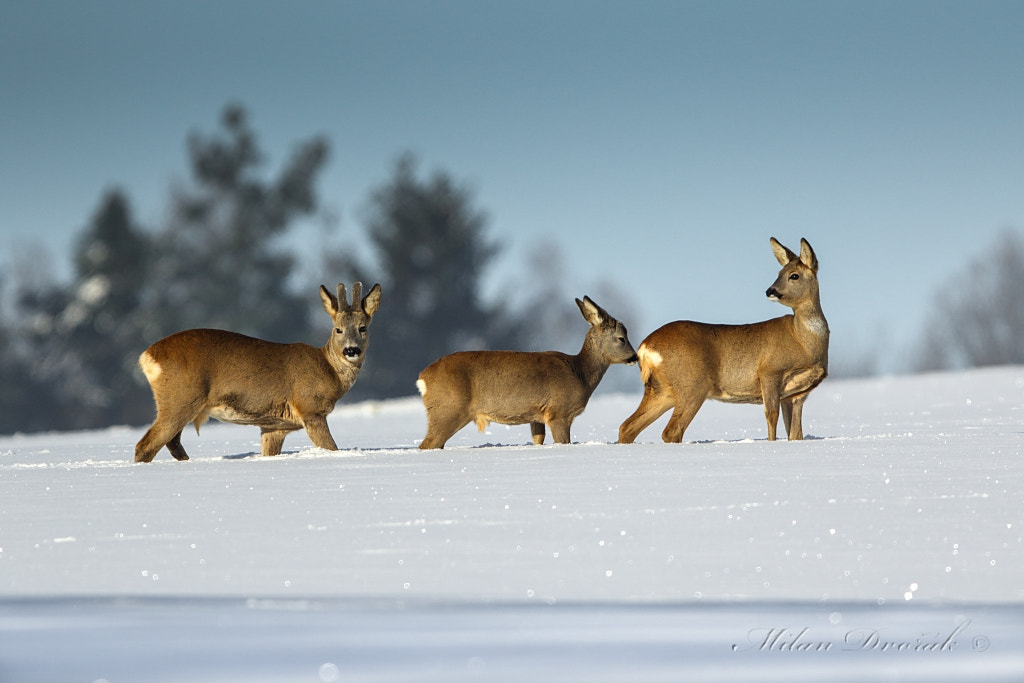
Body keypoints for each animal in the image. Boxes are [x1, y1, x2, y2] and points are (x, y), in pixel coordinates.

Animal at [132, 280, 380, 462]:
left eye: (363, 328)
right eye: (338, 329)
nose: (351, 350)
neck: (329, 370)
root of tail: (147, 356)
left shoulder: (274, 426)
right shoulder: (310, 409)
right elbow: (332, 448)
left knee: (172, 443)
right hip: (181, 398)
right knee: (146, 444)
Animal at [413, 294, 634, 448]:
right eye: (622, 338)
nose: (634, 357)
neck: (581, 372)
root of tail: (422, 378)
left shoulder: (537, 417)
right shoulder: (559, 412)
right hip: (448, 409)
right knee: (427, 444)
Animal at [614, 237, 823, 446]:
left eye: (794, 275)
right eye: (779, 273)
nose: (770, 291)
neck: (804, 341)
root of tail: (645, 347)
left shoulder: (796, 395)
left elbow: (795, 434)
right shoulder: (770, 372)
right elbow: (771, 417)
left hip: (661, 390)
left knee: (627, 426)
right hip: (692, 384)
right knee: (671, 431)